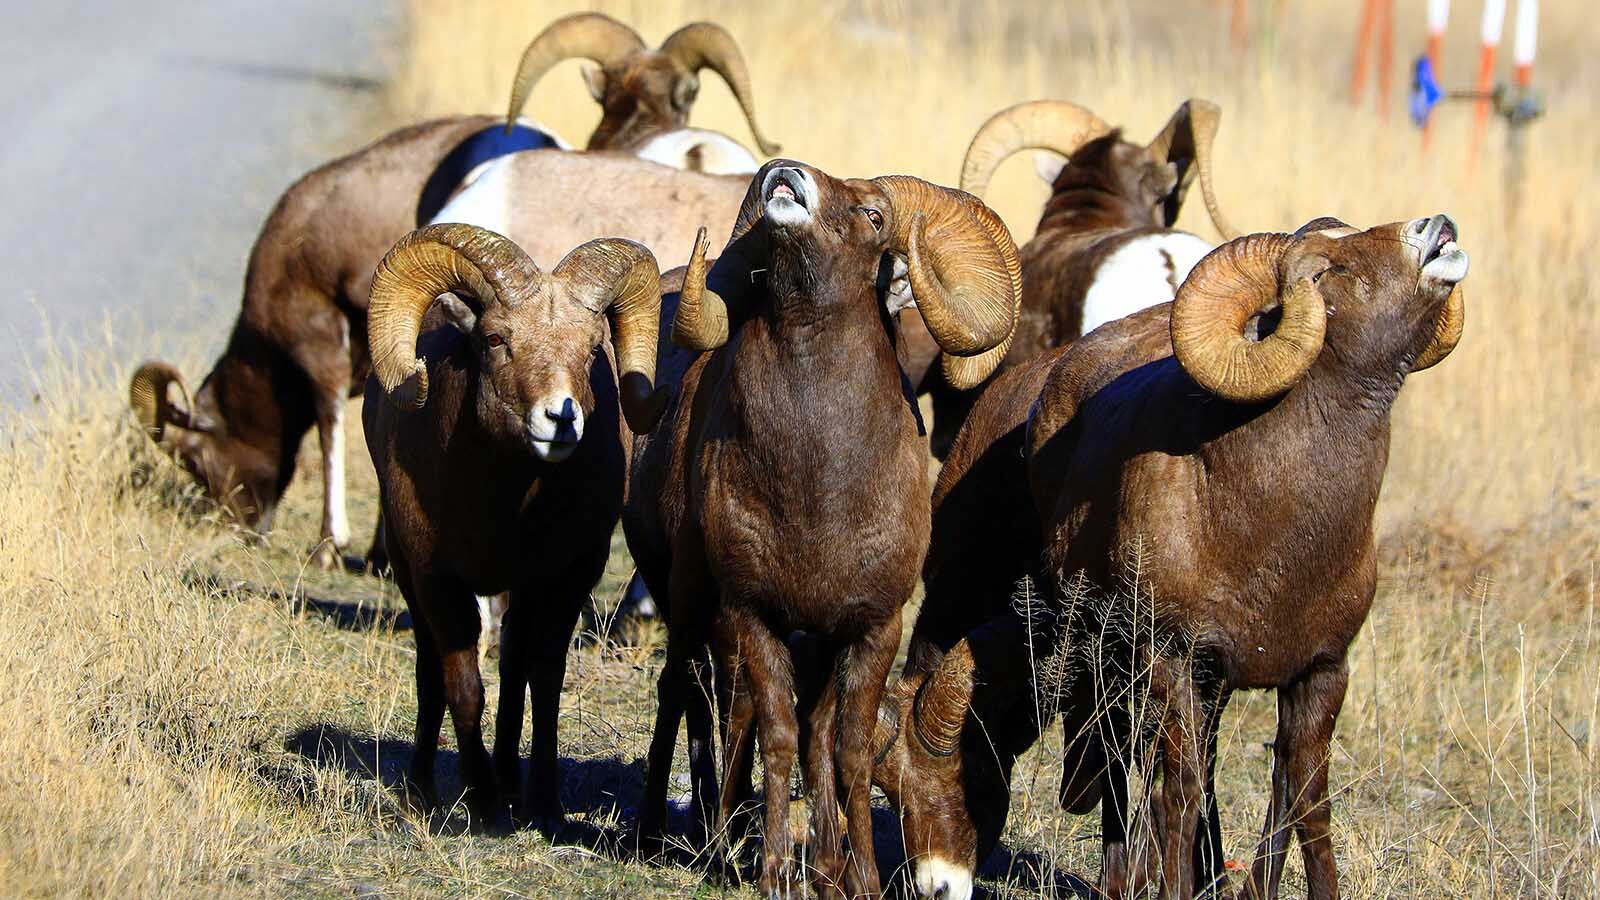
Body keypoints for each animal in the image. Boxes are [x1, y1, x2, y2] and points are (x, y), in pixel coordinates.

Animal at [356, 222, 667, 831]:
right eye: (497, 339)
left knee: (516, 668)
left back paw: (508, 782)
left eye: (592, 348)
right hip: (411, 576)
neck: (502, 508)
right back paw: (425, 791)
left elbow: (542, 683)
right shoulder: (439, 581)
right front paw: (480, 802)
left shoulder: (563, 579)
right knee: (430, 671)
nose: (560, 418)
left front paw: (542, 807)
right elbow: (462, 685)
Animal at [623, 161, 1022, 898]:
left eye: (873, 216)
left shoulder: (868, 631)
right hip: (691, 602)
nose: (786, 174)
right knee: (690, 693)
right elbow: (777, 733)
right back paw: (676, 835)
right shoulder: (755, 617)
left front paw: (854, 877)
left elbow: (845, 750)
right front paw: (776, 872)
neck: (817, 487)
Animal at [879, 214, 1468, 900]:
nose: (1436, 229)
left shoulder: (1320, 674)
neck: (1281, 535)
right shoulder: (1173, 664)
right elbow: (1177, 797)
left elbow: (1304, 802)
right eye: (1326, 270)